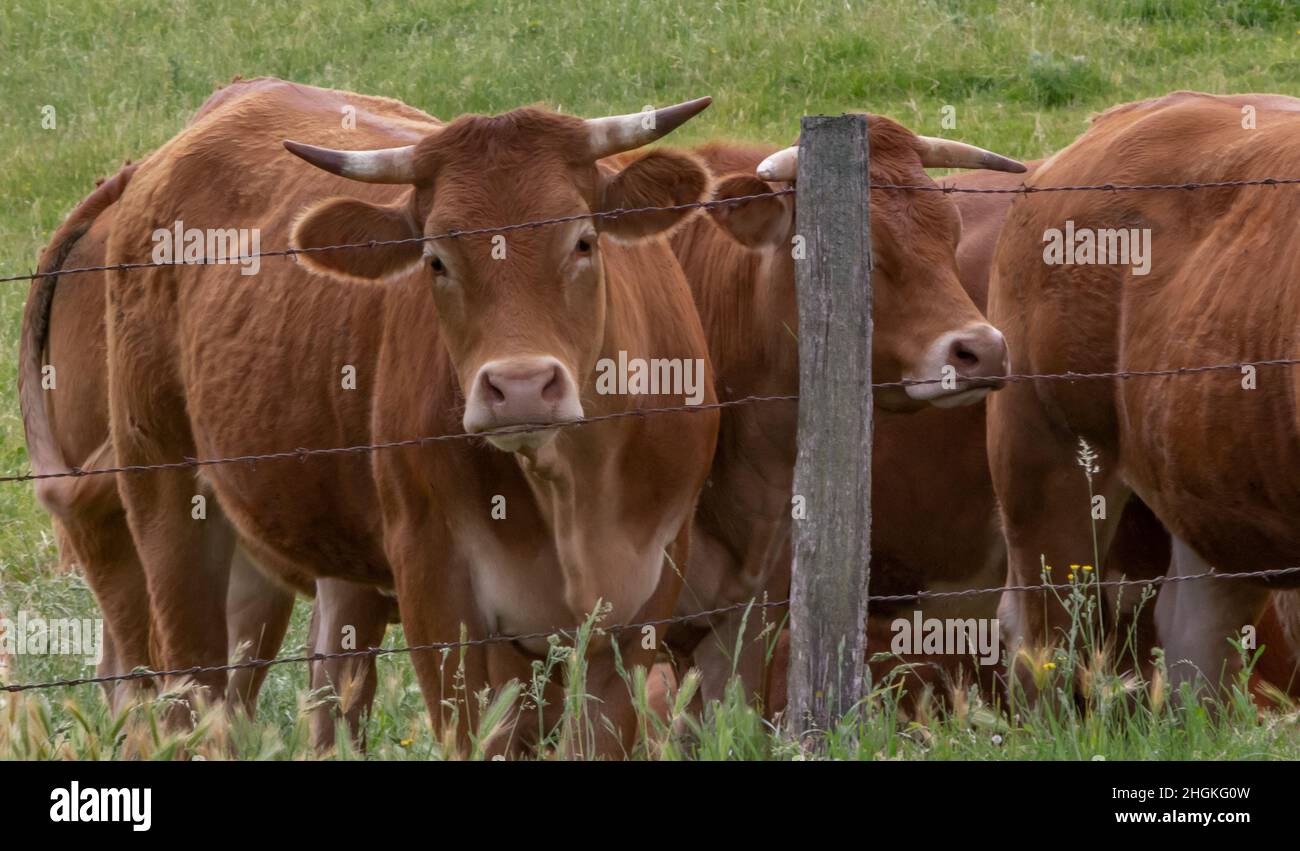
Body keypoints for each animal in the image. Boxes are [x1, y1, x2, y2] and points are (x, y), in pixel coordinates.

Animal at [95, 77, 718, 756]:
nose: (521, 387)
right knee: (191, 693)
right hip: (164, 498)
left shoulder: (642, 603)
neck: (570, 489)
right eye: (436, 259)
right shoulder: (438, 591)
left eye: (583, 240)